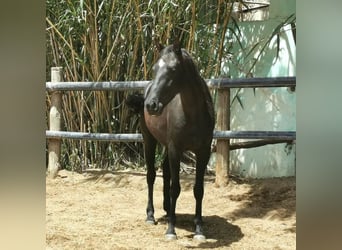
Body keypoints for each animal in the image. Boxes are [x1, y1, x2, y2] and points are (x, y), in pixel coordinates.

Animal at [127, 41, 215, 240]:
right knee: (151, 175)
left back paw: (168, 210)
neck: (193, 115)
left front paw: (199, 229)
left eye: (173, 69)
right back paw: (151, 215)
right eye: (154, 68)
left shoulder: (203, 151)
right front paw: (171, 230)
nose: (151, 105)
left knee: (166, 172)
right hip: (149, 140)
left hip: (167, 146)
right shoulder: (176, 149)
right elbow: (176, 187)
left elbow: (198, 189)